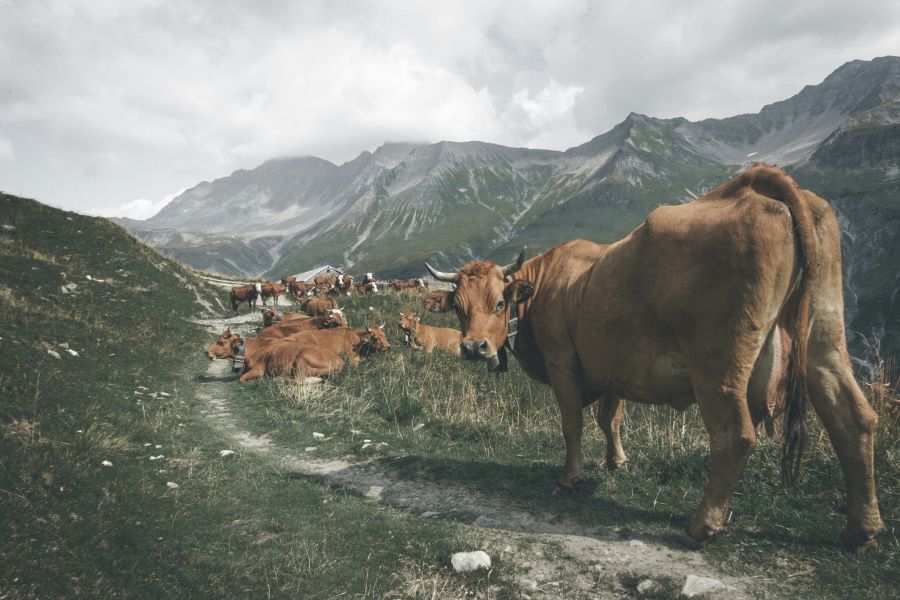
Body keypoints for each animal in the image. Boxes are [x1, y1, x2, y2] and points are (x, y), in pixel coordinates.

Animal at [426, 164, 884, 552]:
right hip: (825, 337)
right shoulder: (611, 366)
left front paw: (571, 478)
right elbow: (609, 418)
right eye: (458, 308)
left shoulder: (563, 362)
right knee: (853, 417)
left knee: (735, 436)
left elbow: (573, 423)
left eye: (500, 302)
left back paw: (703, 525)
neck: (547, 284)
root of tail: (759, 184)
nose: (473, 348)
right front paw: (616, 461)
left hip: (719, 364)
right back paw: (861, 529)